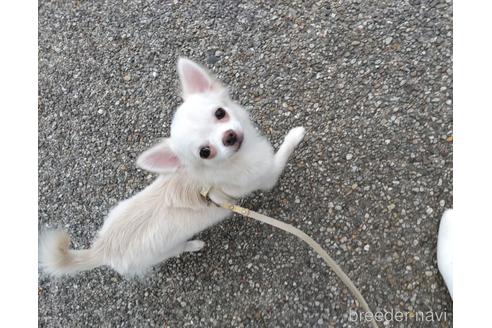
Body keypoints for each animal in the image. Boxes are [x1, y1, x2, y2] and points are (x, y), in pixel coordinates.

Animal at [38, 58, 304, 276]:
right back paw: (194, 244)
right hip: (163, 251)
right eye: (205, 152)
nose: (229, 136)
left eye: (220, 113)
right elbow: (282, 154)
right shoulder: (266, 175)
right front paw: (296, 135)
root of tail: (103, 249)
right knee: (178, 250)